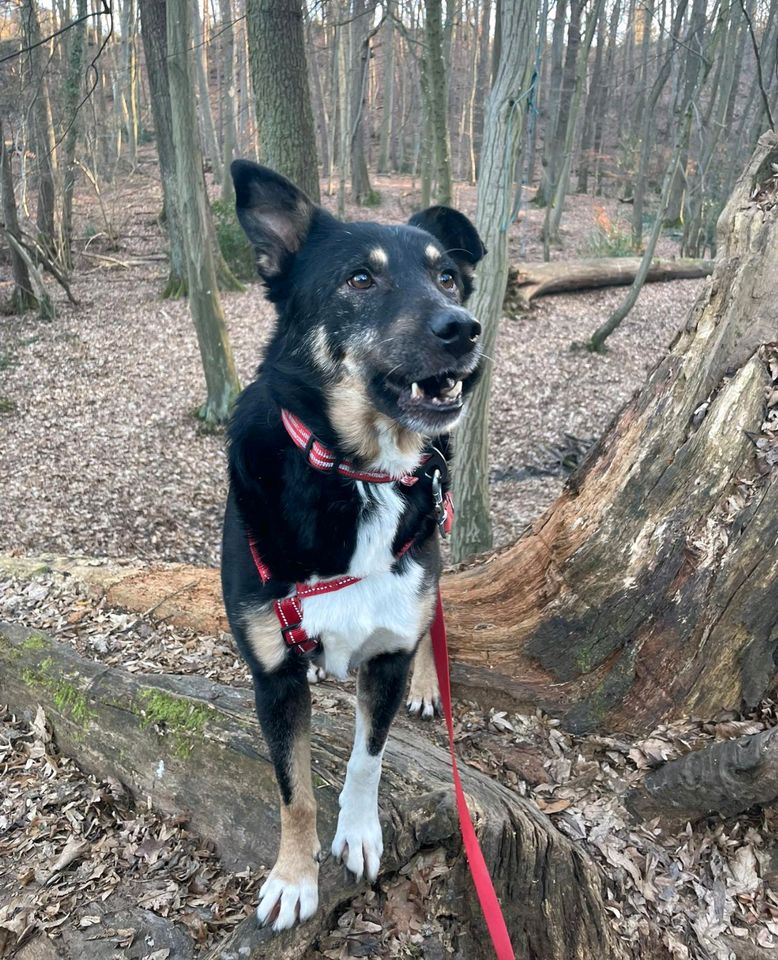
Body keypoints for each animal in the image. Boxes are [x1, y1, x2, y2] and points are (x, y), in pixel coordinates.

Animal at [220, 161, 484, 932]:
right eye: (359, 280)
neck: (358, 473)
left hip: (435, 544)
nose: (464, 329)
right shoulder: (273, 677)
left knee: (434, 617)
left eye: (447, 277)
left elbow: (369, 757)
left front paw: (359, 834)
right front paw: (293, 877)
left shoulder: (389, 648)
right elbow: (294, 791)